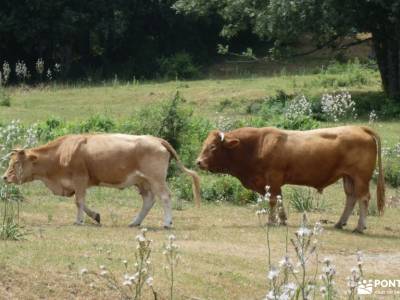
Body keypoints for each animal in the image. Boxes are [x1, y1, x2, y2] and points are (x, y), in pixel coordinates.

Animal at [3, 134, 202, 227]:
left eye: (17, 162)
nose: (4, 177)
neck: (61, 153)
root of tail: (157, 139)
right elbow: (81, 202)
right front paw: (94, 216)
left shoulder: (80, 178)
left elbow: (79, 201)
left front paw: (81, 220)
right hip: (143, 181)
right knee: (148, 200)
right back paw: (135, 222)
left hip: (156, 179)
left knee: (165, 197)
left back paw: (167, 223)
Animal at [197, 125, 384, 233]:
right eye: (204, 145)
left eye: (213, 147)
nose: (198, 162)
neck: (257, 145)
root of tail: (359, 128)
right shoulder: (271, 182)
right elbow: (278, 199)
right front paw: (282, 219)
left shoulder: (273, 177)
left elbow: (273, 200)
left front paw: (272, 221)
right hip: (348, 177)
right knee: (351, 198)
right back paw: (340, 223)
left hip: (360, 177)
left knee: (363, 198)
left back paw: (359, 226)